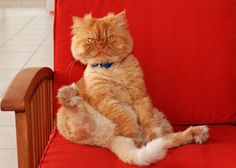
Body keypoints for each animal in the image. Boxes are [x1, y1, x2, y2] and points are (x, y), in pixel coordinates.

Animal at [56, 11, 208, 166]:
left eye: (109, 38)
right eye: (91, 40)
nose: (101, 45)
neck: (111, 68)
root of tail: (110, 140)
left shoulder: (139, 94)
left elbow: (147, 120)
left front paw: (150, 133)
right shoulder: (105, 100)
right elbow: (124, 118)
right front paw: (133, 134)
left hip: (161, 120)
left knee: (167, 140)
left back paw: (197, 133)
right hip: (75, 119)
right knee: (77, 115)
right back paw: (67, 94)